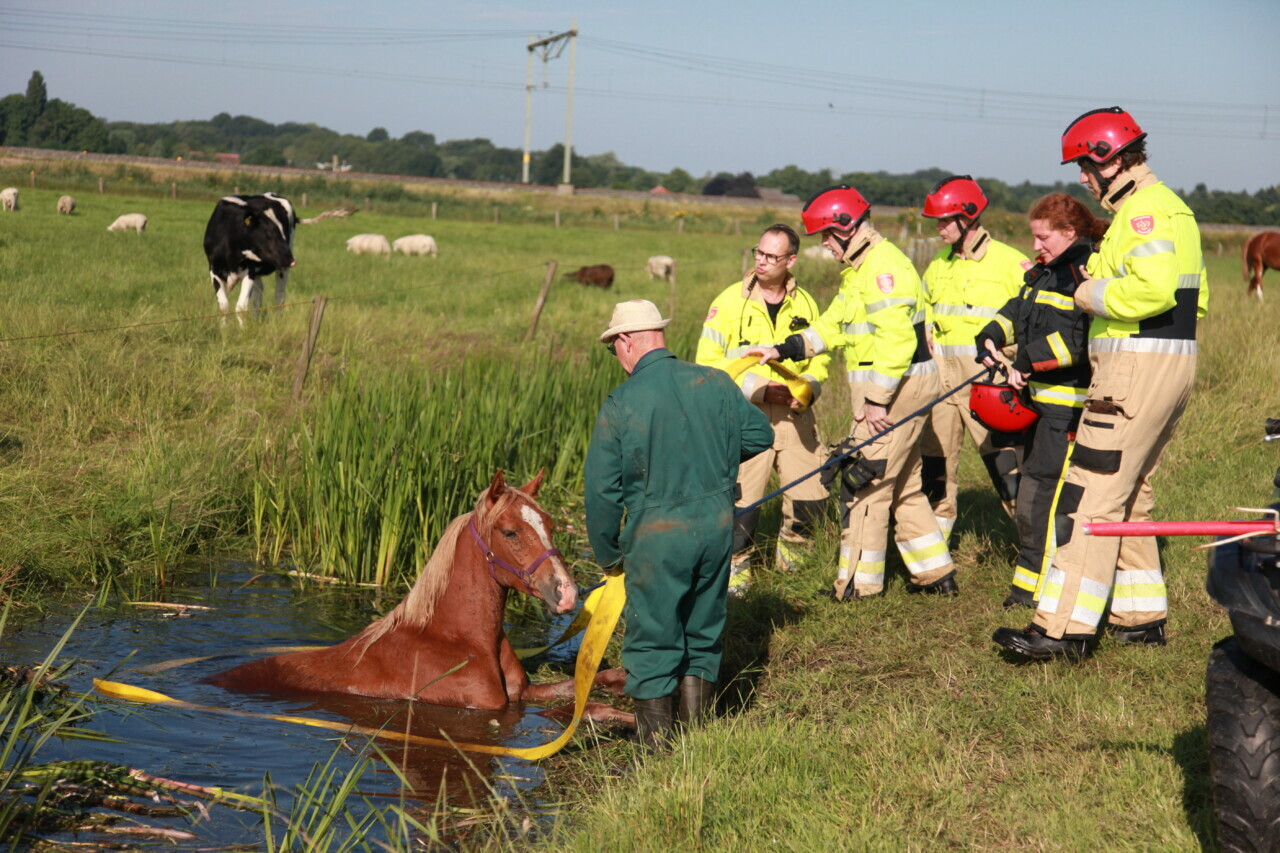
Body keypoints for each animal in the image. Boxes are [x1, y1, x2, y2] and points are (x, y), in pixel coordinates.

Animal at [207, 470, 628, 722]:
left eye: (551, 526)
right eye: (509, 532)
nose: (566, 592)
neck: (458, 640)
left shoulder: (521, 694)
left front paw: (622, 681)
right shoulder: (491, 708)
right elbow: (578, 709)